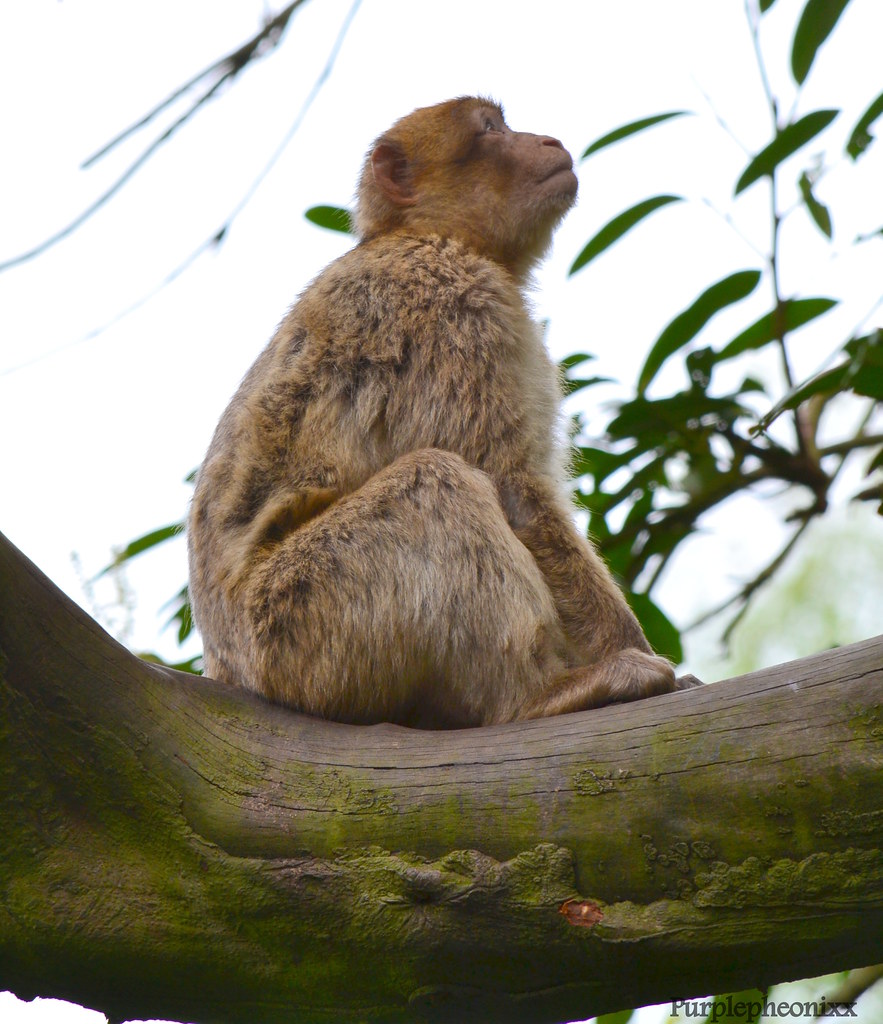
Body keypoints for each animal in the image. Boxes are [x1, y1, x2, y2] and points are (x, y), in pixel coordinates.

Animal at [187, 96, 699, 729]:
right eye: (491, 130)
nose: (549, 141)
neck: (430, 235)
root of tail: (232, 674)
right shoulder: (458, 309)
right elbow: (517, 491)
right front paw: (634, 652)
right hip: (301, 625)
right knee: (436, 479)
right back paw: (535, 694)